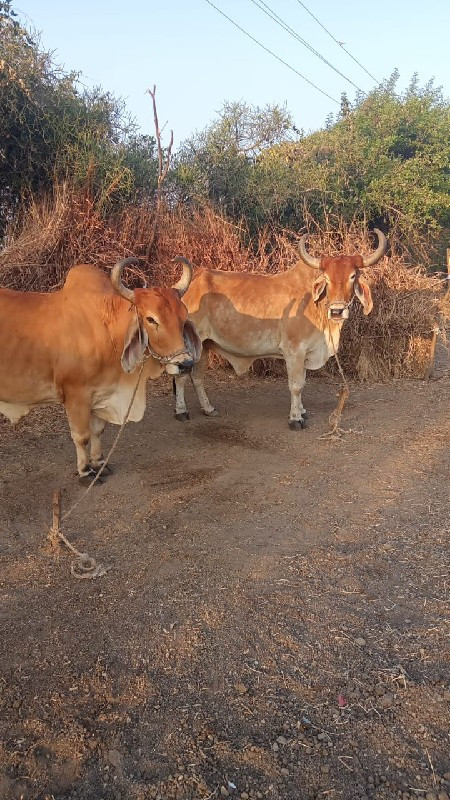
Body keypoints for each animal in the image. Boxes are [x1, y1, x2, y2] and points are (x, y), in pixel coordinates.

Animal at [0, 258, 200, 482]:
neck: (106, 330)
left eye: (183, 316)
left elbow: (98, 431)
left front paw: (99, 464)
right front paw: (85, 472)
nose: (185, 364)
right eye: (151, 319)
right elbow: (81, 436)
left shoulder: (100, 393)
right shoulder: (75, 396)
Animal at [172, 230, 386, 428]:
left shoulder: (304, 352)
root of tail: (190, 283)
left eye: (352, 276)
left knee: (197, 377)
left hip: (204, 345)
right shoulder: (294, 350)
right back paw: (181, 411)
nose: (337, 311)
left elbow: (303, 381)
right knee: (181, 377)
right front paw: (295, 419)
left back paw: (208, 408)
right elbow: (296, 385)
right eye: (326, 278)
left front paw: (302, 410)